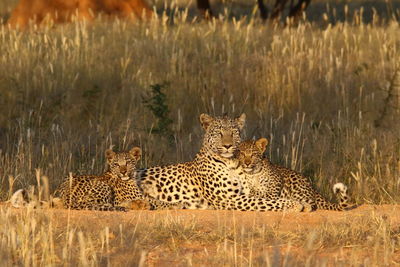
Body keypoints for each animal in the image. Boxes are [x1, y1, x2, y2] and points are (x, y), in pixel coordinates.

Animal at [136, 114, 314, 213]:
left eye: (234, 132)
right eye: (219, 133)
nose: (228, 145)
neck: (232, 163)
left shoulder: (248, 191)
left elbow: (266, 198)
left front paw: (303, 202)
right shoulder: (228, 198)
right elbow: (264, 202)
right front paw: (294, 204)